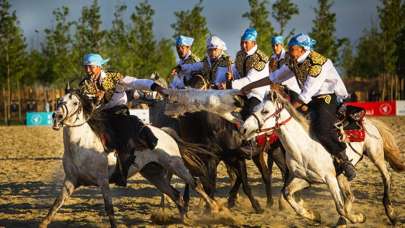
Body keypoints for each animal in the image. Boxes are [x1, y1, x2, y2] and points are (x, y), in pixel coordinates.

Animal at [39, 90, 218, 227]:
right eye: (59, 101)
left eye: (75, 103)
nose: (57, 116)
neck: (81, 144)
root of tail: (166, 133)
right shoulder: (70, 181)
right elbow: (55, 205)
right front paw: (43, 223)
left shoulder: (103, 181)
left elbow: (109, 209)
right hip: (153, 174)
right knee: (176, 194)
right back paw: (184, 220)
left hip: (176, 165)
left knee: (196, 185)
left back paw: (216, 209)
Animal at [240, 92, 404, 226]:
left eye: (265, 111)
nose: (243, 129)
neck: (304, 147)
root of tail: (367, 121)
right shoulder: (306, 179)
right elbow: (287, 194)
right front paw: (314, 215)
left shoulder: (329, 178)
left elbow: (339, 207)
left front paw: (359, 218)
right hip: (341, 175)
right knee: (350, 197)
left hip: (376, 156)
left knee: (386, 177)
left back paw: (391, 214)